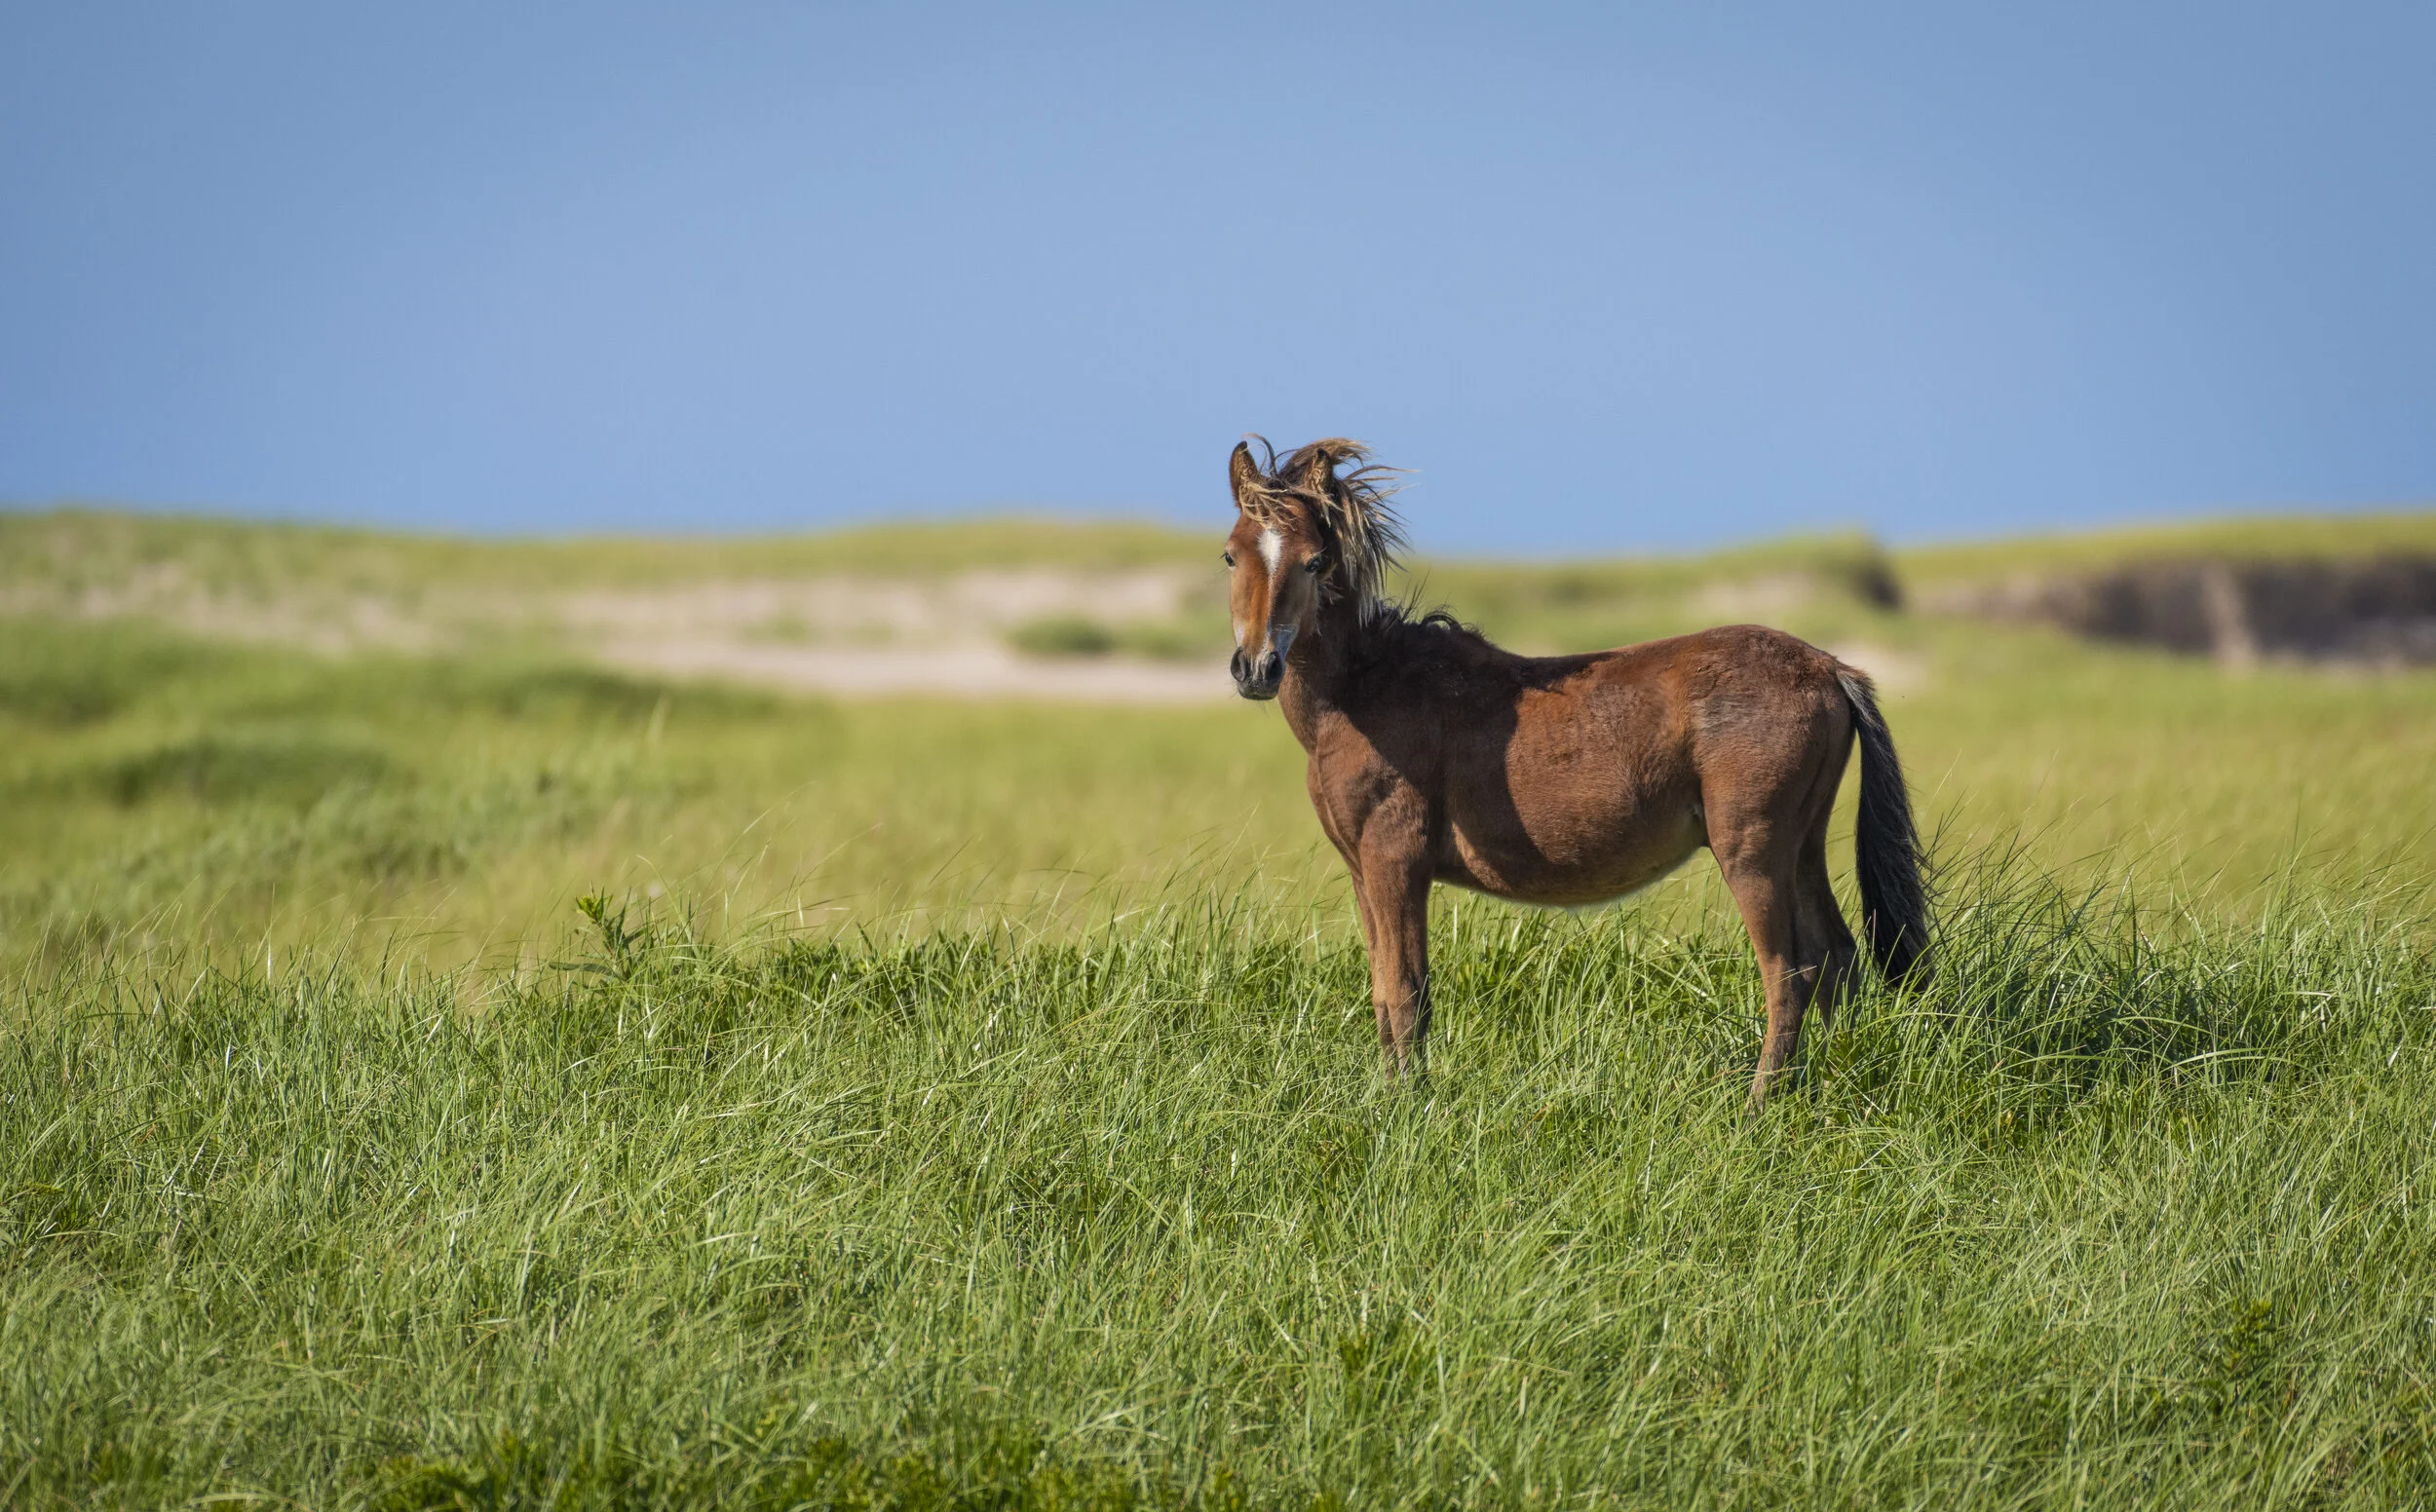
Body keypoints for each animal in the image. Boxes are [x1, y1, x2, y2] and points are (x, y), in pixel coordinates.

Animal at [1221, 437, 1930, 1112]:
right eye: (1232, 555)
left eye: (1314, 560)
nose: (1257, 667)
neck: (1365, 690)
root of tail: (1830, 667)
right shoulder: (1362, 871)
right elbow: (1381, 991)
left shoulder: (1396, 862)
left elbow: (1405, 991)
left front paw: (1406, 1106)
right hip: (1800, 850)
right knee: (1838, 960)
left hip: (1752, 855)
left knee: (1789, 974)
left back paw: (1758, 1106)